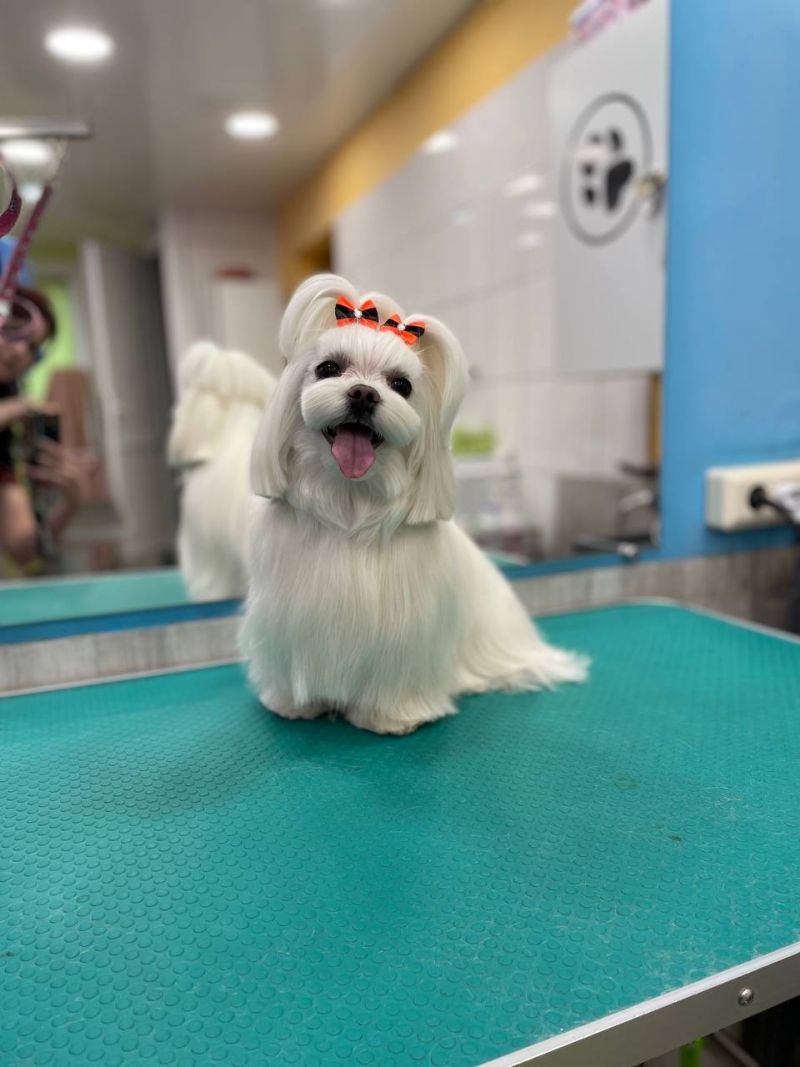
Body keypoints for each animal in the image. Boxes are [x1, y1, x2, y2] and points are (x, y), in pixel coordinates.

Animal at [240, 274, 588, 734]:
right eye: (328, 368)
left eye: (401, 386)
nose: (364, 394)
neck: (350, 503)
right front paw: (293, 703)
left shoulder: (405, 629)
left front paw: (392, 716)